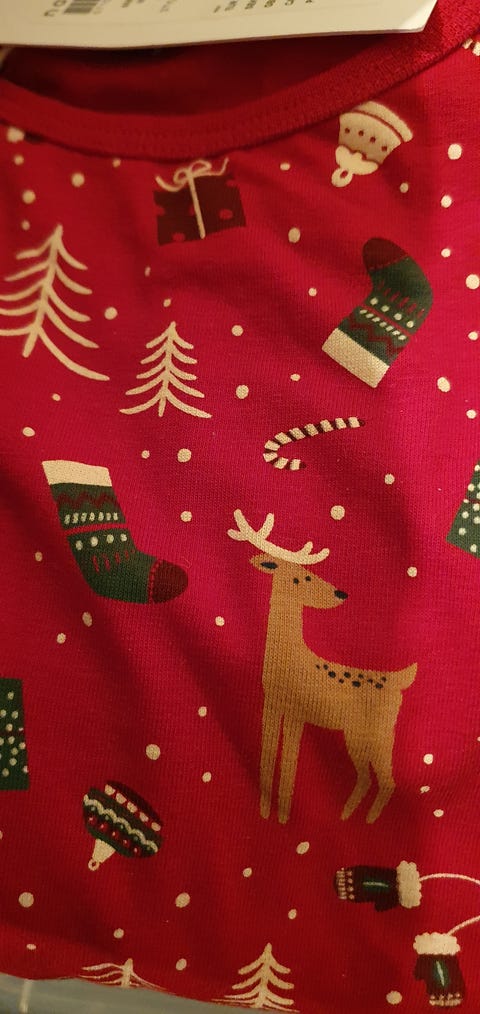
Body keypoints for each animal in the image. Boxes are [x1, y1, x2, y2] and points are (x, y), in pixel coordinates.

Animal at [228, 510, 417, 825]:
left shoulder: (297, 711)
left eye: (311, 573)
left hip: (375, 734)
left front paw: (282, 814)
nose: (341, 593)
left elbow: (289, 762)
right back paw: (347, 814)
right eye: (301, 577)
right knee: (366, 777)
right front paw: (267, 810)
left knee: (387, 780)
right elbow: (268, 755)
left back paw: (364, 820)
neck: (288, 656)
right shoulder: (273, 704)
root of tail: (398, 679)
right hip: (359, 736)